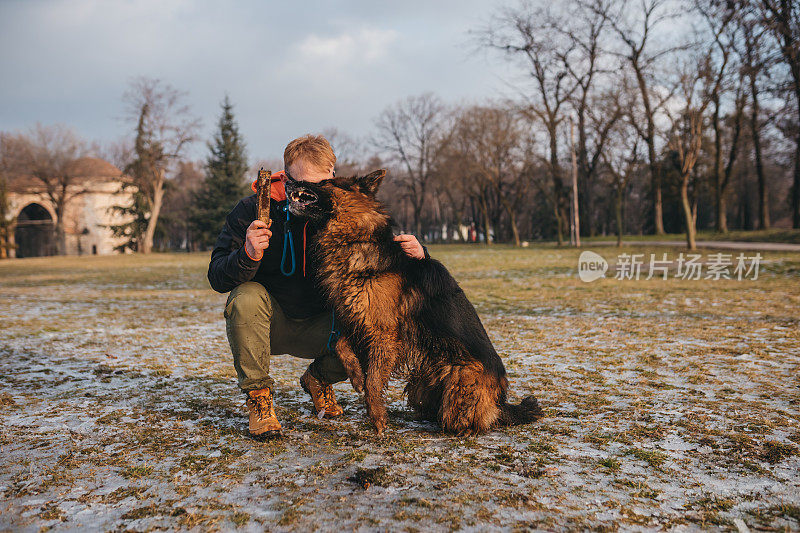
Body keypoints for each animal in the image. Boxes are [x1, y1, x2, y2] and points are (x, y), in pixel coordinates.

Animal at [284, 170, 540, 436]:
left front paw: (377, 419)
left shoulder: (383, 334)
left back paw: (463, 428)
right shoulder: (354, 319)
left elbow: (373, 381)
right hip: (420, 383)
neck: (357, 238)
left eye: (326, 182)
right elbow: (340, 345)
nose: (288, 181)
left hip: (460, 382)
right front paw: (355, 375)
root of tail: (501, 402)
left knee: (474, 419)